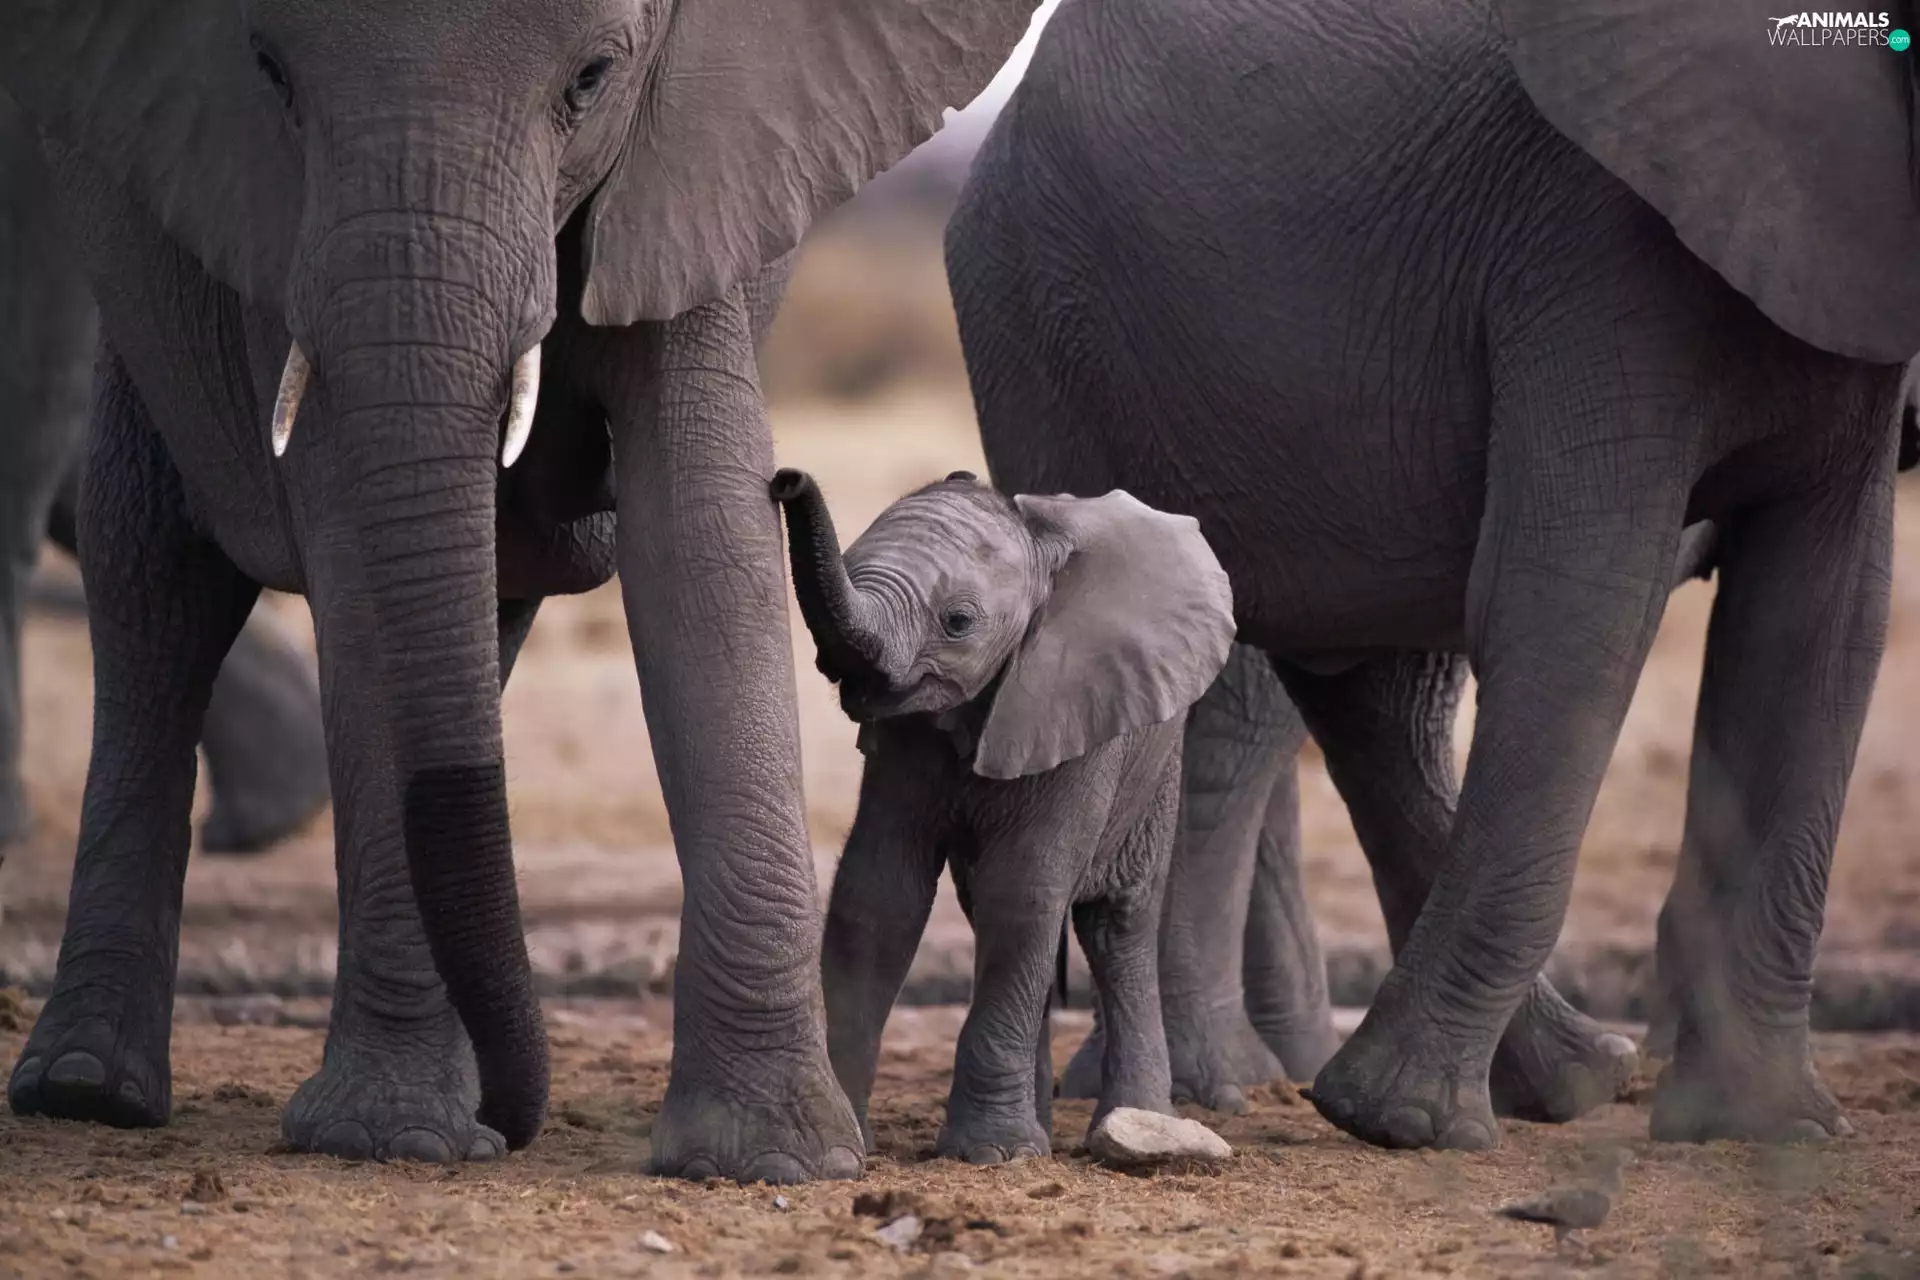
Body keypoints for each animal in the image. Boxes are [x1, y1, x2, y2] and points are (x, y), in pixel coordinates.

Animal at [1, 0, 1039, 1181]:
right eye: (269, 75)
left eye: (591, 79)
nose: (797, 481)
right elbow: (352, 548)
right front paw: (389, 1138)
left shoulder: (695, 165)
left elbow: (703, 541)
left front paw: (770, 1159)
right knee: (157, 578)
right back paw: (89, 1091)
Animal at [769, 468, 1235, 1164]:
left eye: (958, 622)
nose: (786, 478)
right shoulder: (906, 740)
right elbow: (877, 896)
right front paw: (853, 1138)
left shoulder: (1075, 707)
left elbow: (1023, 892)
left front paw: (992, 1154)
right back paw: (1040, 1129)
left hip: (1156, 766)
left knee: (1115, 924)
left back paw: (1133, 1122)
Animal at [946, 0, 1918, 1152]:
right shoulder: (1594, 250)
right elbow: (1572, 609)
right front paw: (1401, 1121)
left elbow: (1820, 627)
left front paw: (1763, 1129)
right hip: (1041, 320)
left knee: (1364, 687)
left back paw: (1570, 1079)